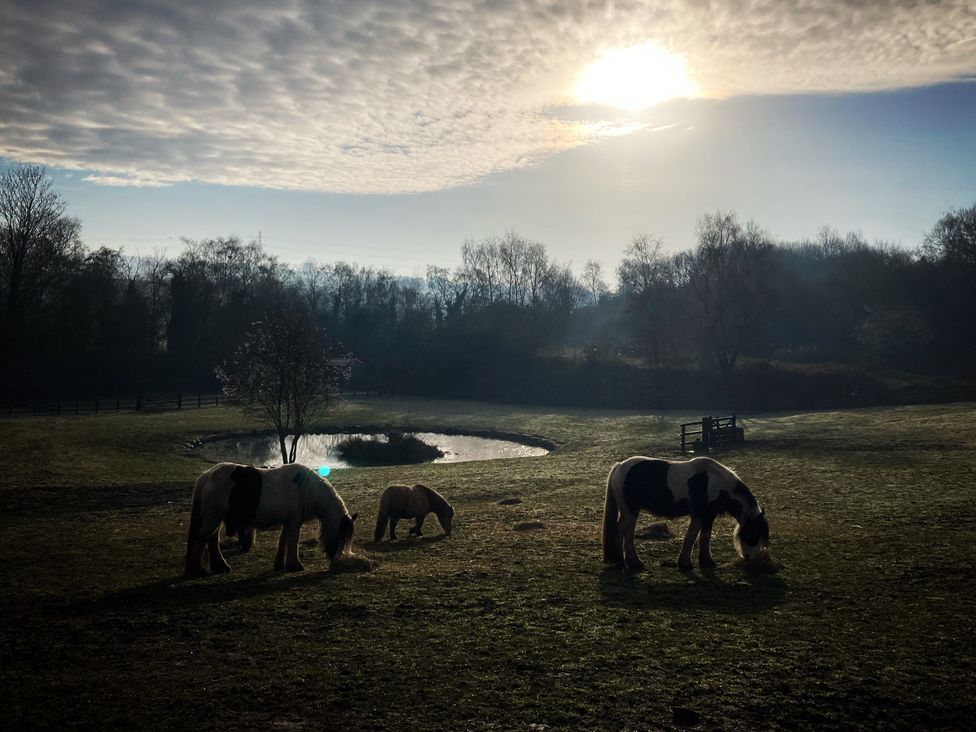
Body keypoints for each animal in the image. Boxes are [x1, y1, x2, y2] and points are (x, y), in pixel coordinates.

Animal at [185, 464, 356, 576]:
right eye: (341, 535)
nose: (335, 564)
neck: (304, 489)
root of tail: (207, 475)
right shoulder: (295, 522)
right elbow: (293, 541)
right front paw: (295, 565)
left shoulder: (289, 521)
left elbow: (283, 541)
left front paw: (280, 564)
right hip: (213, 519)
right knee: (201, 539)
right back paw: (197, 570)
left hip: (216, 519)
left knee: (211, 540)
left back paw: (220, 566)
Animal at [604, 458, 772, 572]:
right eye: (754, 532)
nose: (749, 557)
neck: (716, 483)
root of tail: (619, 466)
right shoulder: (699, 514)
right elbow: (691, 537)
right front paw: (685, 563)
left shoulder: (709, 516)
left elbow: (705, 537)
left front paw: (706, 561)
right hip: (630, 511)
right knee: (627, 533)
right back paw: (634, 563)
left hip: (627, 512)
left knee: (619, 530)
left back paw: (619, 560)